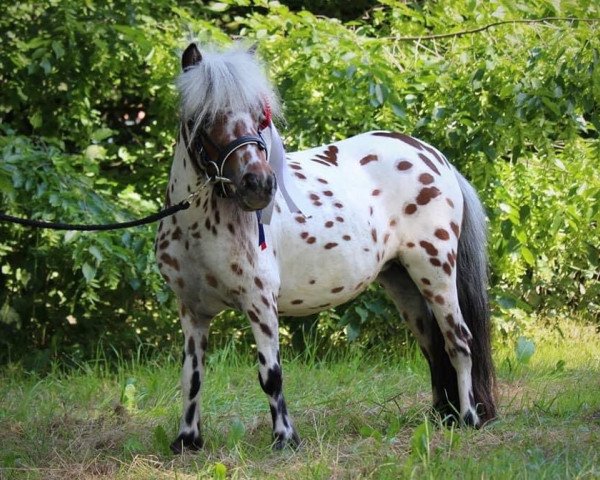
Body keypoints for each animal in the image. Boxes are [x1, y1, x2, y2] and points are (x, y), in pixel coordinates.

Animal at [156, 43, 496, 452]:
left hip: (436, 272)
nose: (260, 184)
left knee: (459, 342)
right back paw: (438, 417)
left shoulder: (260, 302)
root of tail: (436, 157)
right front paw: (187, 440)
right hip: (402, 282)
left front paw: (285, 439)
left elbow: (270, 374)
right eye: (205, 117)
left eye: (258, 117)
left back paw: (468, 418)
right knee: (433, 345)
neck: (198, 230)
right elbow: (192, 377)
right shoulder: (192, 311)